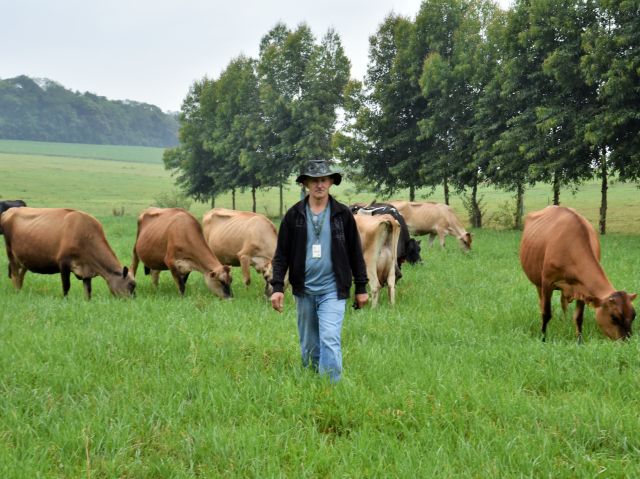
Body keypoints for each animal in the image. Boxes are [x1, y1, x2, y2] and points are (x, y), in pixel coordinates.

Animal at [0, 207, 134, 300]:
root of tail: (9, 211)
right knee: (15, 275)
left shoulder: (86, 269)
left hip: (24, 259)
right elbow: (66, 286)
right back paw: (17, 293)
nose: (133, 300)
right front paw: (65, 301)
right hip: (10, 252)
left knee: (20, 276)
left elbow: (88, 290)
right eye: (131, 285)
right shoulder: (63, 263)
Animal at [520, 206, 636, 342]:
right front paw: (543, 338)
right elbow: (546, 313)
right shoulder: (547, 281)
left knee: (563, 303)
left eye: (634, 315)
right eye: (614, 317)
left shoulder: (583, 288)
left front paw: (579, 340)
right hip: (538, 281)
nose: (627, 341)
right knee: (541, 302)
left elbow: (579, 317)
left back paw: (565, 322)